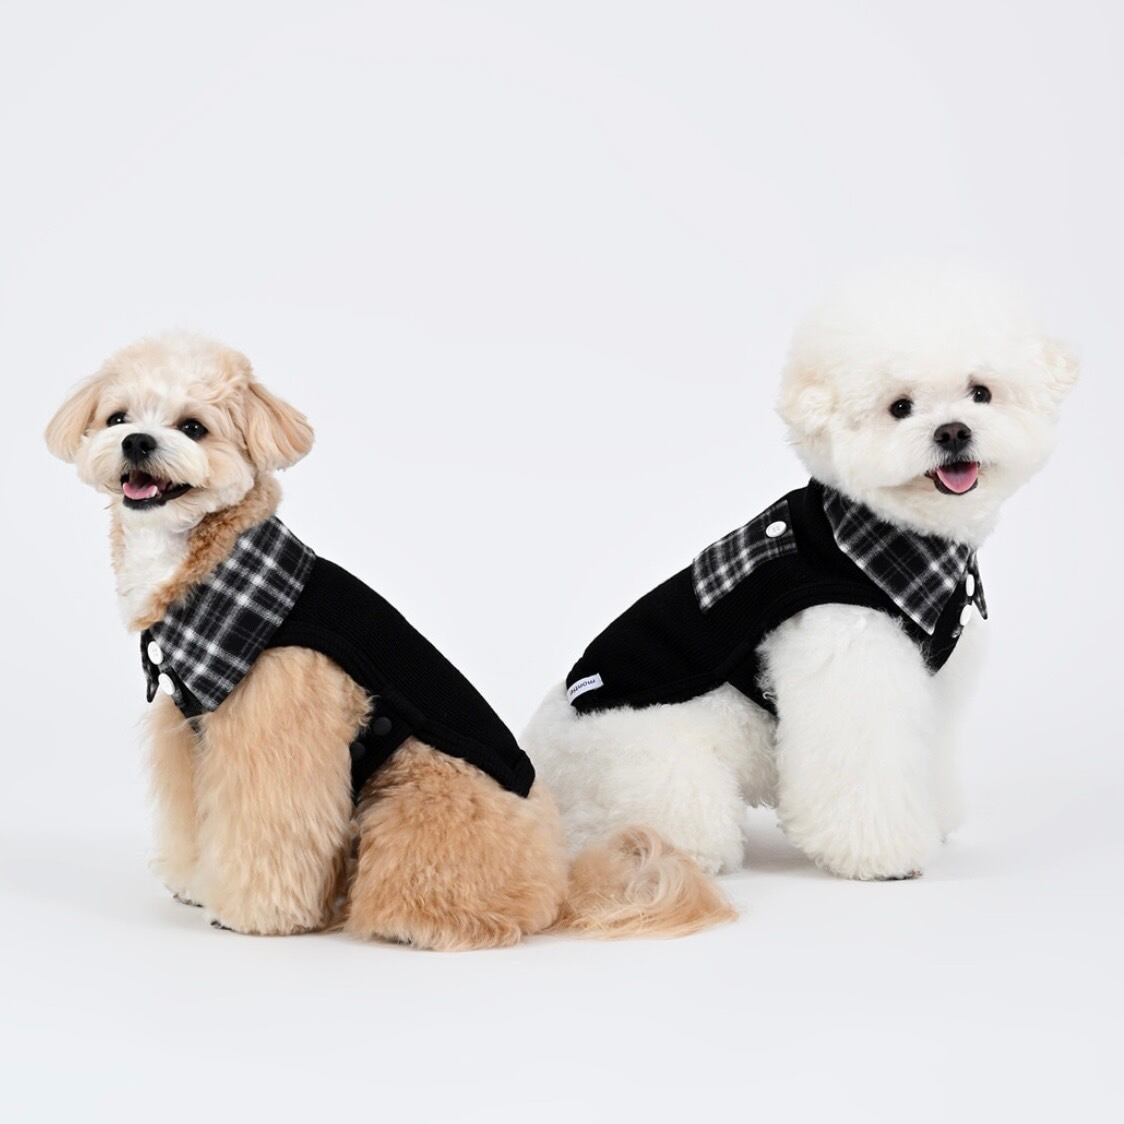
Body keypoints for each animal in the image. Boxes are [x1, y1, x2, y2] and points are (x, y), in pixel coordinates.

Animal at [45, 333, 732, 946]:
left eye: (193, 428)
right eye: (117, 417)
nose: (137, 441)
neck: (214, 566)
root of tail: (560, 877)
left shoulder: (276, 733)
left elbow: (269, 830)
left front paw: (253, 916)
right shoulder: (190, 730)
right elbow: (195, 815)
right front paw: (195, 884)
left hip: (416, 800)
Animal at [523, 269, 1077, 881]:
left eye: (981, 393)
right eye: (900, 407)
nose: (953, 432)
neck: (881, 541)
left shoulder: (930, 685)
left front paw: (933, 817)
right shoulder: (848, 661)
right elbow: (865, 769)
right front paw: (884, 856)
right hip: (656, 764)